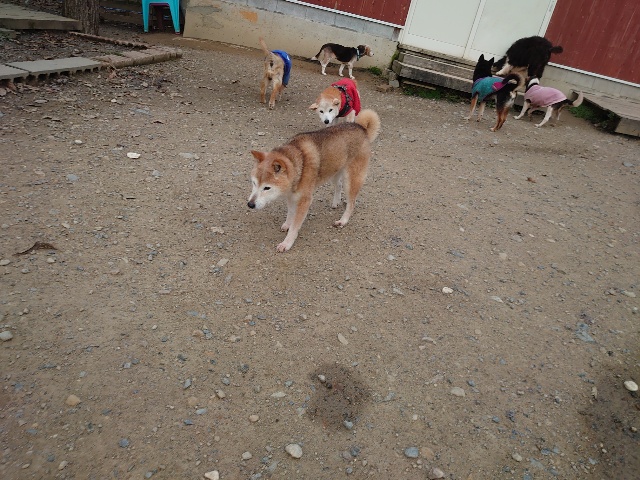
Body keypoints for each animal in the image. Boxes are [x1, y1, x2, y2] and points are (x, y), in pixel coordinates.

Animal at [247, 109, 381, 252]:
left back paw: (343, 221)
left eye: (267, 188)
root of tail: (361, 128)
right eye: (254, 183)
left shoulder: (304, 200)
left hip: (351, 180)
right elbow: (290, 214)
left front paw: (287, 243)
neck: (298, 164)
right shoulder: (291, 196)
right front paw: (287, 224)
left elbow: (295, 226)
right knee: (338, 186)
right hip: (334, 172)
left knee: (351, 203)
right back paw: (335, 202)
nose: (250, 204)